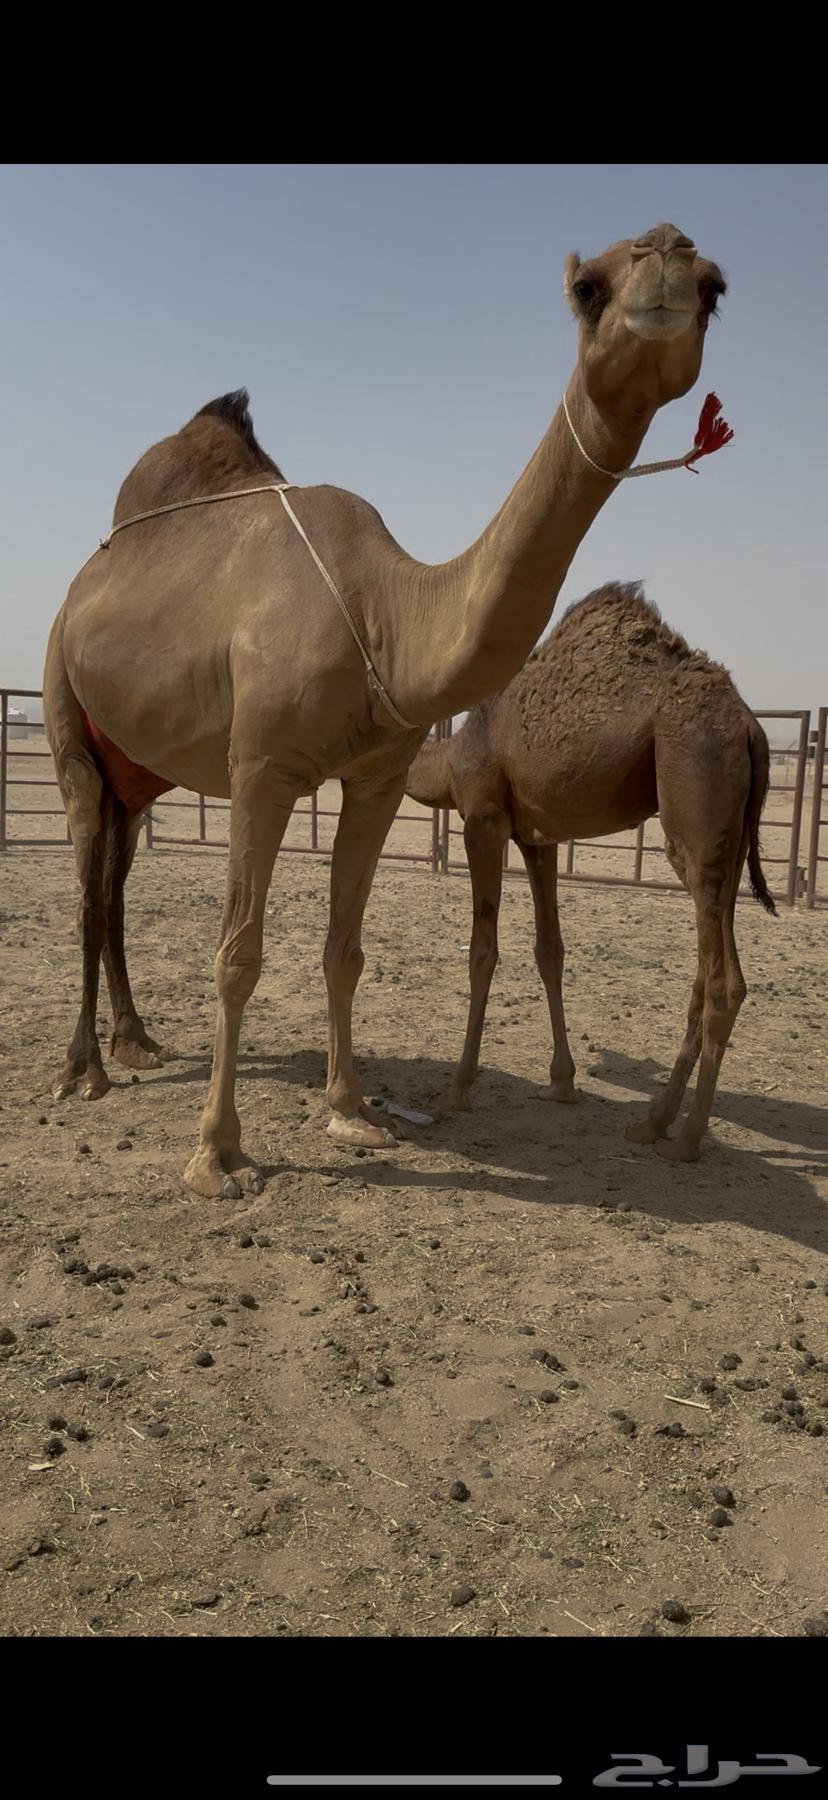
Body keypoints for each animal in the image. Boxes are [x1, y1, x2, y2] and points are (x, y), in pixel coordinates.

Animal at [43, 221, 728, 1198]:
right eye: (588, 289)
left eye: (714, 288)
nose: (667, 253)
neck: (389, 614)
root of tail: (78, 593)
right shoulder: (262, 768)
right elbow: (238, 955)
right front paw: (217, 1156)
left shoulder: (376, 777)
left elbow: (346, 948)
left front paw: (352, 1109)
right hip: (63, 703)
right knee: (85, 888)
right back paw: (84, 1070)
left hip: (133, 771)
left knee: (112, 883)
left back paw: (136, 1043)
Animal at [405, 583, 775, 1162]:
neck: (451, 756)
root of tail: (750, 728)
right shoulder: (538, 838)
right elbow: (549, 950)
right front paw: (562, 1082)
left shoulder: (483, 819)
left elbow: (482, 951)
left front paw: (457, 1089)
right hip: (732, 841)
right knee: (709, 967)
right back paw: (651, 1123)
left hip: (695, 798)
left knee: (724, 981)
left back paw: (685, 1139)